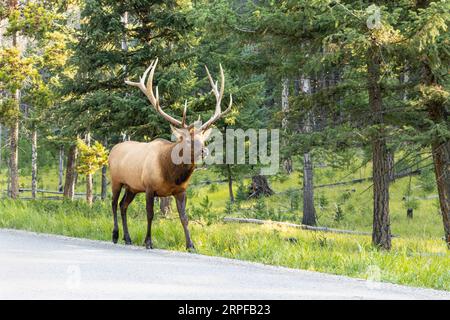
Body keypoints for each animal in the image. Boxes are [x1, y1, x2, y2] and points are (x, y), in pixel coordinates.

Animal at [108, 59, 232, 250]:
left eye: (203, 140)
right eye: (187, 140)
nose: (204, 151)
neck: (171, 174)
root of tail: (112, 150)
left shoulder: (181, 191)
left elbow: (184, 217)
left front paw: (190, 245)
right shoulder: (149, 187)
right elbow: (150, 214)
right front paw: (148, 242)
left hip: (132, 187)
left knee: (123, 205)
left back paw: (127, 238)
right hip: (116, 180)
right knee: (114, 204)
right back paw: (115, 235)